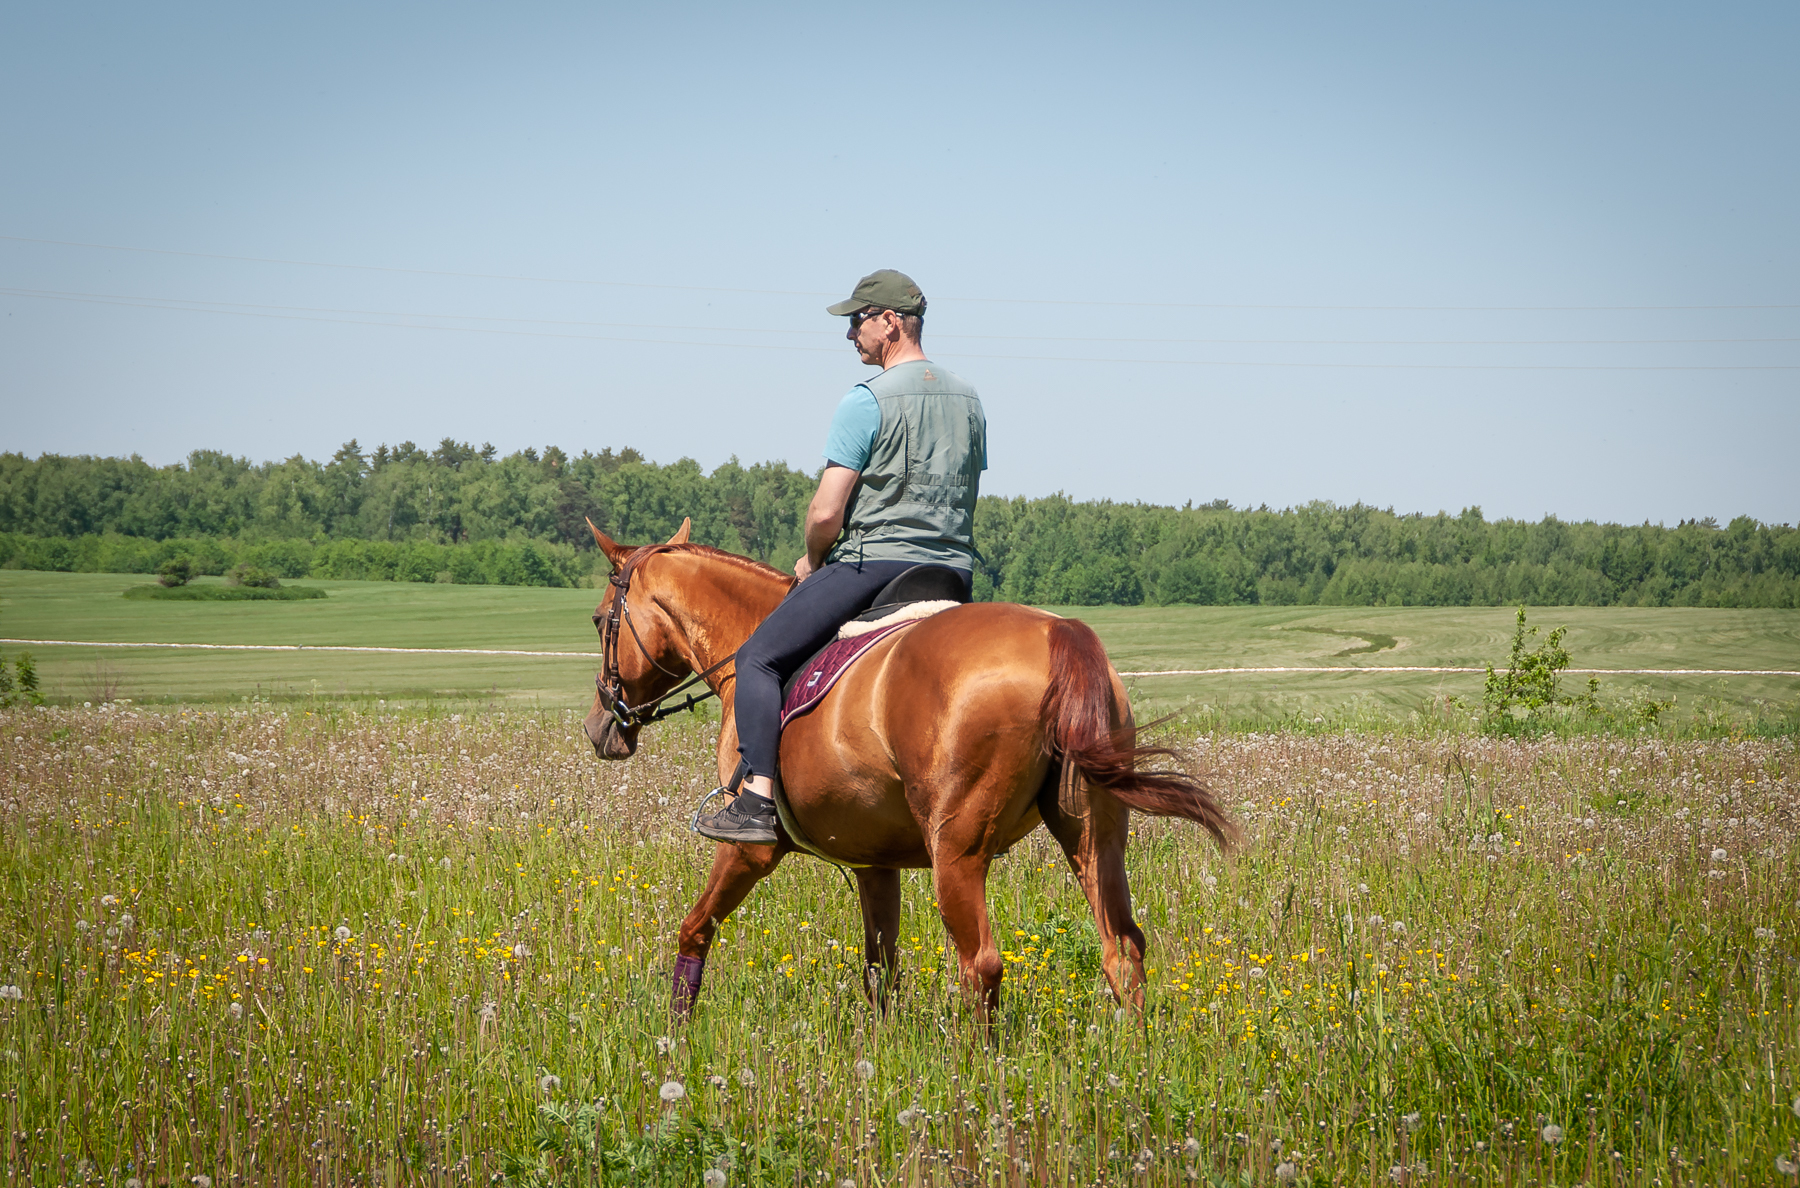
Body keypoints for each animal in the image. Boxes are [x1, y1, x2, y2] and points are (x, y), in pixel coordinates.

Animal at [583, 518, 1231, 1022]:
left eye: (598, 620)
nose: (599, 726)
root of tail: (1057, 631)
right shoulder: (874, 861)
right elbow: (880, 967)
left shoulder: (750, 850)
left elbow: (694, 928)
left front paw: (676, 1031)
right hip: (1094, 832)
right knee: (1122, 949)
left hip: (957, 850)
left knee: (981, 965)